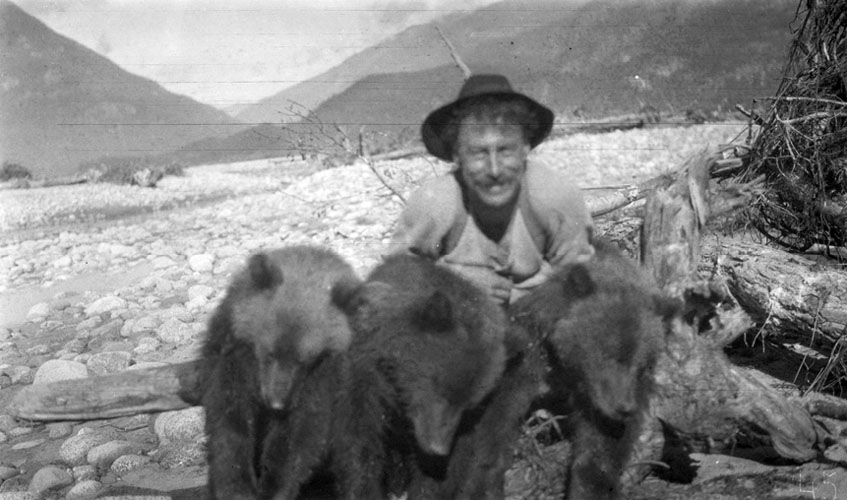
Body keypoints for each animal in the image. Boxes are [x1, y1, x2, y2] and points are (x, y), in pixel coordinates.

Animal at [202, 246, 362, 500]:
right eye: (270, 353)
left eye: (305, 361)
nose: (277, 403)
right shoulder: (232, 353)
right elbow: (229, 417)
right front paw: (235, 485)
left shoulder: (323, 378)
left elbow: (298, 435)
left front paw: (273, 487)